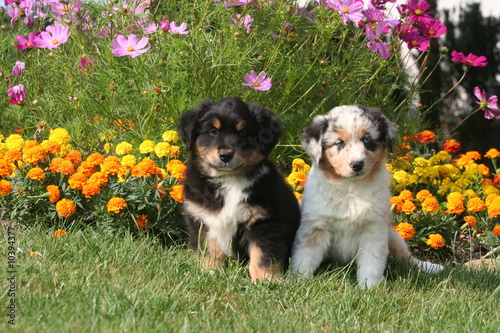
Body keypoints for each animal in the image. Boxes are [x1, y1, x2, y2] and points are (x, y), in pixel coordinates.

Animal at [179, 95, 298, 280]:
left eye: (243, 133)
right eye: (213, 132)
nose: (225, 155)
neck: (229, 180)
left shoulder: (266, 222)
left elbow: (263, 256)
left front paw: (265, 280)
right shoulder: (202, 219)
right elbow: (210, 250)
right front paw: (210, 272)